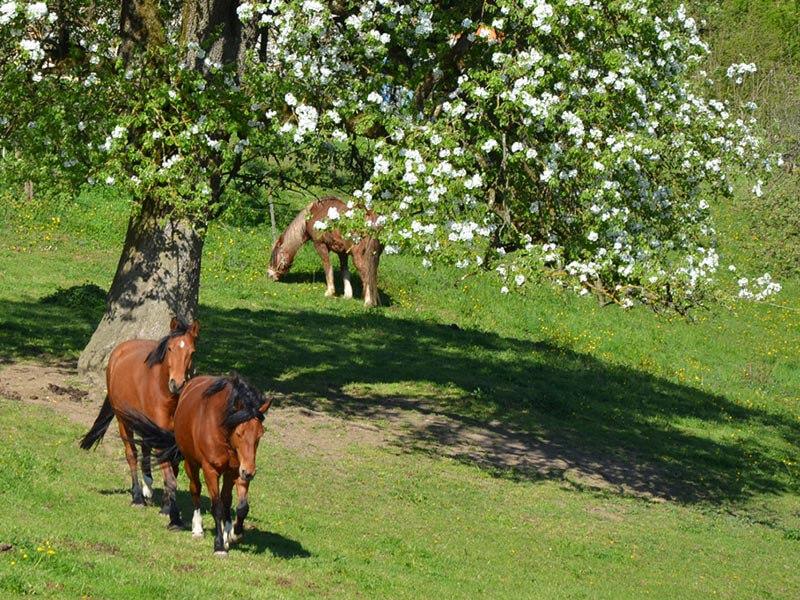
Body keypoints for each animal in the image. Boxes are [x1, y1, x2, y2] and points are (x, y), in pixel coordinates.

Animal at [79, 316, 200, 528]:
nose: (176, 384)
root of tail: (120, 350)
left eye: (191, 352)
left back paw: (148, 488)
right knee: (132, 454)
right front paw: (170, 513)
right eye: (170, 349)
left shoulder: (170, 438)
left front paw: (165, 506)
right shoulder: (161, 439)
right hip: (123, 422)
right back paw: (137, 497)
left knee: (144, 450)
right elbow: (169, 475)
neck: (165, 394)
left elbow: (173, 469)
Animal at [122, 372, 272, 556]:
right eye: (239, 433)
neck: (222, 431)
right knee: (195, 490)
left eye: (259, 434)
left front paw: (234, 534)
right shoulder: (210, 470)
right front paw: (219, 546)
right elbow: (217, 507)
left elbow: (241, 506)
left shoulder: (235, 470)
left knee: (226, 499)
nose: (249, 472)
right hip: (191, 464)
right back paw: (197, 528)